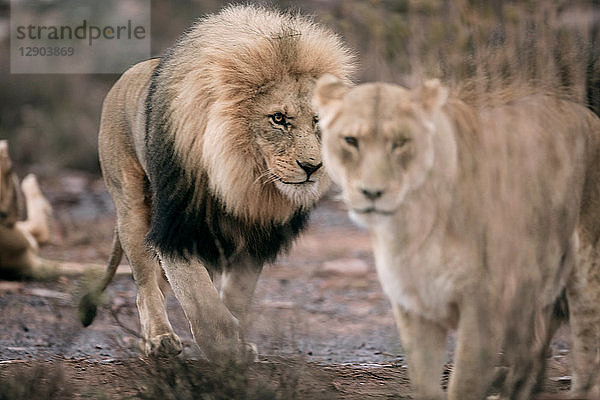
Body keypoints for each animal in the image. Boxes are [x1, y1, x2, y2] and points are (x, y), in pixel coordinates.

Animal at [77, 4, 354, 360]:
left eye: (318, 120)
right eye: (278, 118)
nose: (313, 166)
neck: (240, 177)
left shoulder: (255, 236)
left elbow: (236, 295)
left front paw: (239, 345)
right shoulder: (176, 227)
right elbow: (200, 299)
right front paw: (223, 348)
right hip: (132, 207)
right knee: (145, 284)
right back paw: (158, 340)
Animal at [312, 76, 600, 400]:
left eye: (400, 142)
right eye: (351, 140)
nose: (372, 192)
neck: (409, 226)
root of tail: (585, 112)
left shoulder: (483, 306)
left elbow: (464, 383)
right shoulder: (413, 307)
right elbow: (425, 383)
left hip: (585, 275)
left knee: (585, 353)